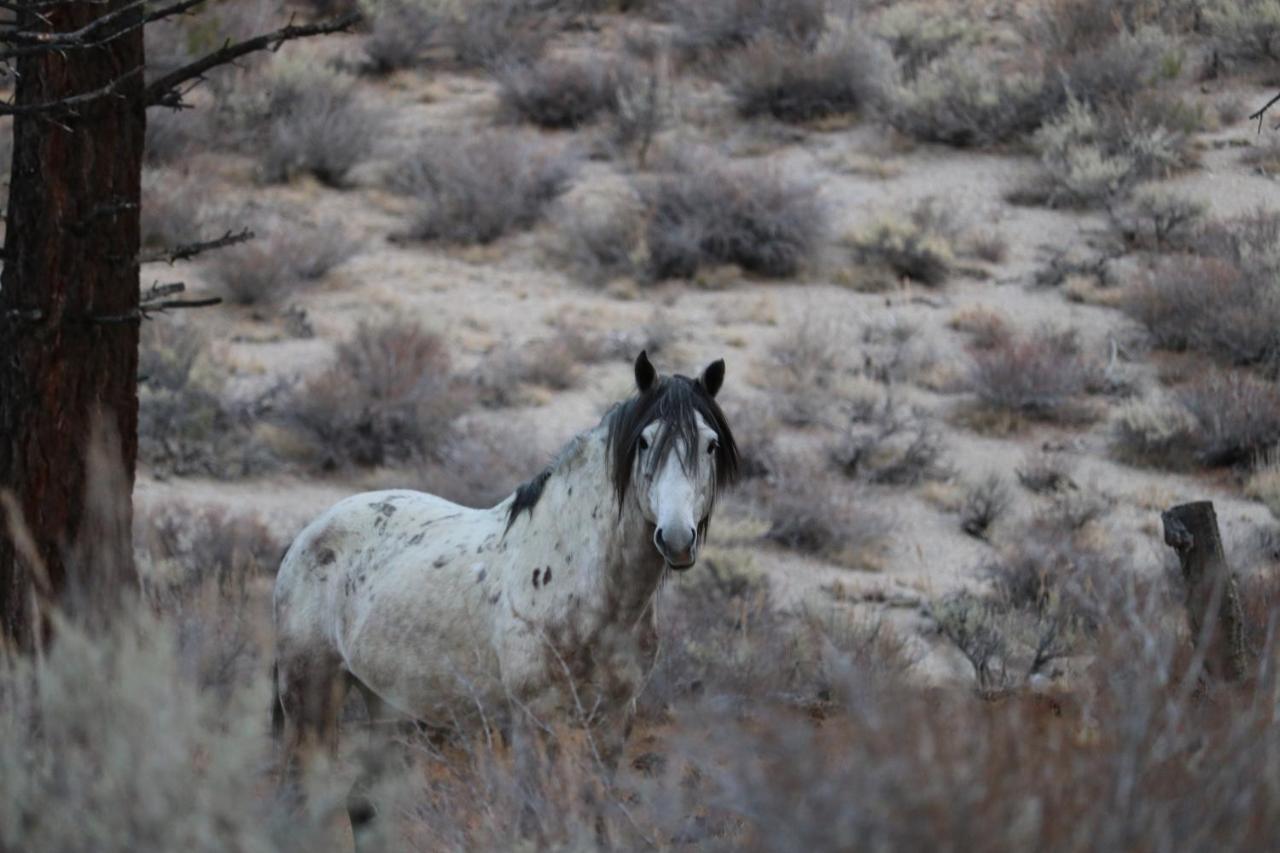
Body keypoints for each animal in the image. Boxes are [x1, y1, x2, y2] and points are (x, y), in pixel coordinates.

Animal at [275, 348, 747, 768]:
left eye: (710, 445)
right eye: (645, 442)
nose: (676, 537)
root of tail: (309, 534)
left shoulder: (614, 719)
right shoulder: (536, 719)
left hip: (384, 702)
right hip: (313, 695)